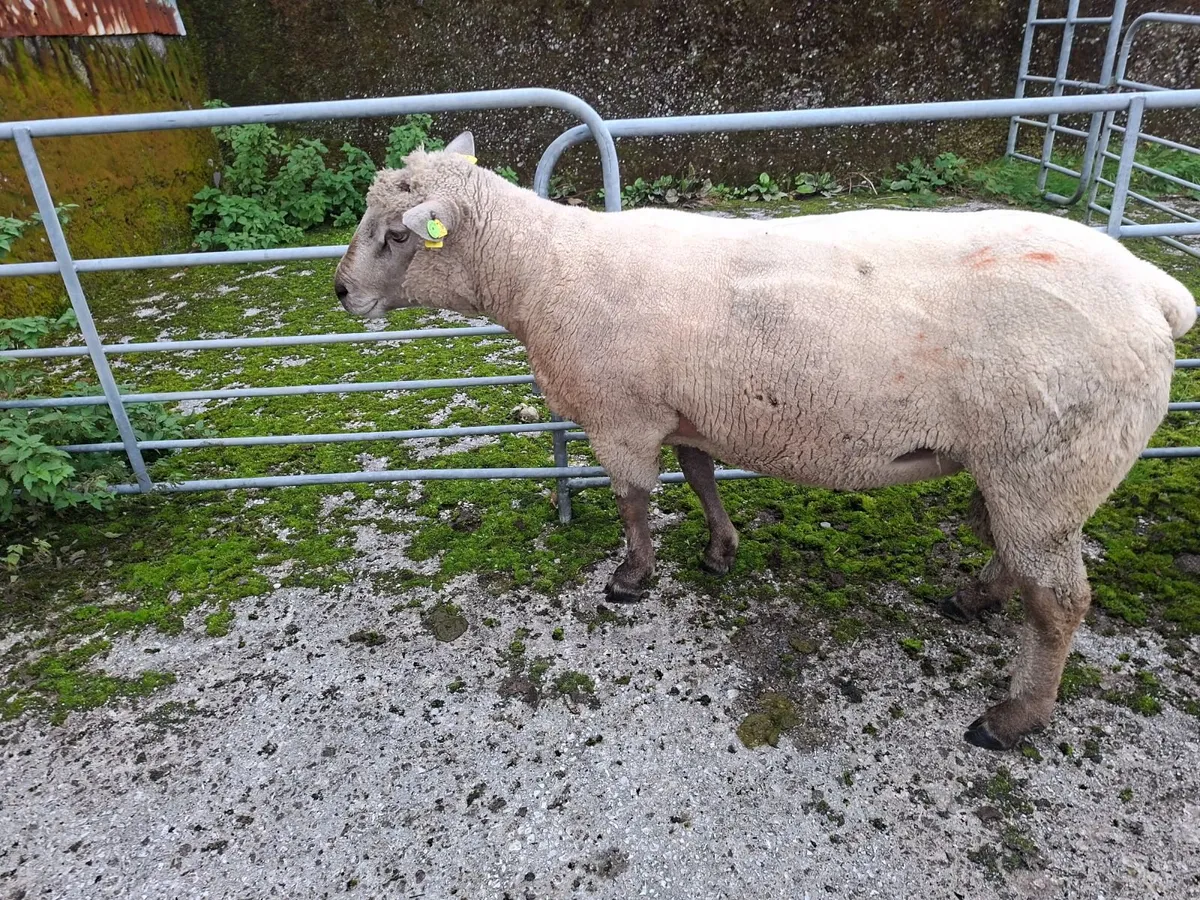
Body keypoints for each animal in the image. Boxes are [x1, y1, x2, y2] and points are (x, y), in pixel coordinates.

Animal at [333, 132, 1197, 751]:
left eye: (394, 235)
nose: (339, 292)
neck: (537, 271)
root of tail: (1154, 293)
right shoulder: (686, 409)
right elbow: (700, 477)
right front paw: (721, 550)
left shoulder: (620, 416)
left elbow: (634, 500)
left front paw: (632, 577)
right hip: (1027, 470)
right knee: (1018, 559)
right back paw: (974, 598)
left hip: (1050, 463)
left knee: (1058, 601)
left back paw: (1014, 717)